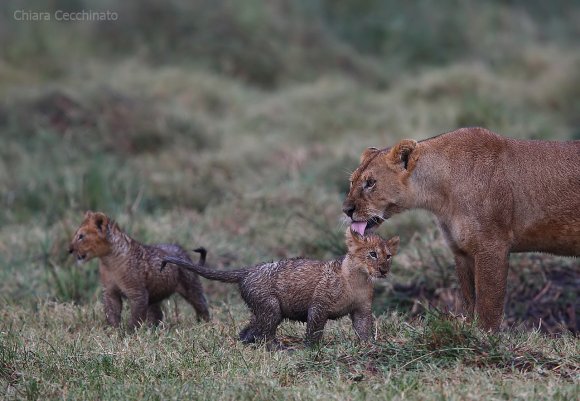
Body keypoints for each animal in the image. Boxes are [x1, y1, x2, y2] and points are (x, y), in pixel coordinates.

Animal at [344, 126, 580, 330]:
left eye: (370, 183)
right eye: (352, 181)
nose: (346, 209)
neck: (440, 192)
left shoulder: (493, 246)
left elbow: (488, 302)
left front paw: (486, 338)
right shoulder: (461, 250)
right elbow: (470, 299)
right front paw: (469, 328)